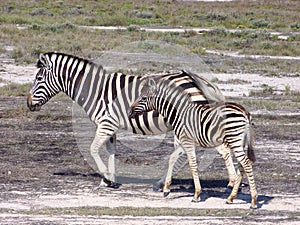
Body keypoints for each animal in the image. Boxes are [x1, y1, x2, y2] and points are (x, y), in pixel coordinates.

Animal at [27, 52, 227, 190]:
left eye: (39, 78)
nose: (28, 104)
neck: (95, 90)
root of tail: (195, 80)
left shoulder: (106, 123)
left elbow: (93, 149)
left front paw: (107, 178)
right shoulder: (110, 126)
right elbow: (111, 151)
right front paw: (109, 181)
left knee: (185, 152)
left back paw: (161, 183)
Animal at [129, 77, 258, 209]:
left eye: (143, 98)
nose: (129, 112)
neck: (178, 113)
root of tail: (245, 112)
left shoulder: (187, 142)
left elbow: (192, 165)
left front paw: (196, 195)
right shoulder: (184, 141)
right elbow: (172, 158)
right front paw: (166, 189)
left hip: (234, 140)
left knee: (246, 163)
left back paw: (253, 201)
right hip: (239, 142)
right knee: (242, 165)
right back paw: (231, 198)